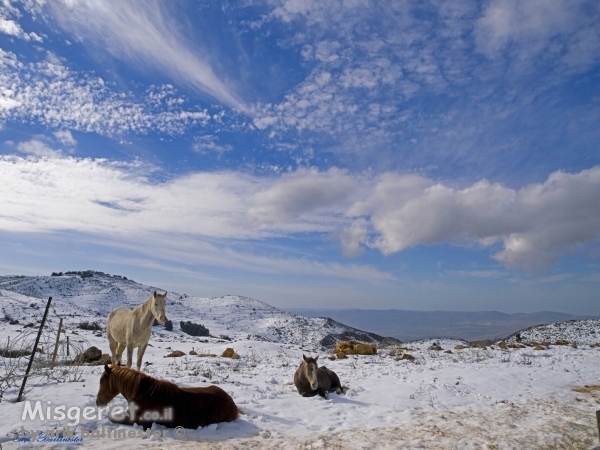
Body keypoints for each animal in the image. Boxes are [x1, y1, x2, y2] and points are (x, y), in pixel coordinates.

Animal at [95, 362, 238, 428]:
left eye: (101, 381)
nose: (98, 402)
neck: (141, 392)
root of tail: (232, 402)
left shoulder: (135, 421)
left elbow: (113, 418)